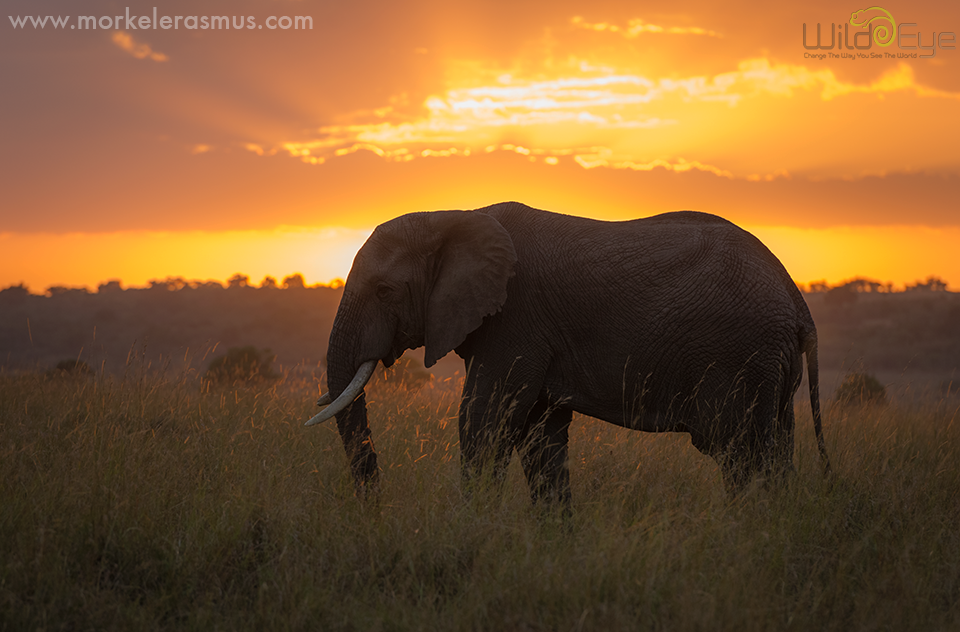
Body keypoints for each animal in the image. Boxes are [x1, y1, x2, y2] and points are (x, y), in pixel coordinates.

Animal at [306, 202, 830, 504]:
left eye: (385, 290)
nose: (375, 507)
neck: (451, 216)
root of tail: (796, 298)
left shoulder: (516, 320)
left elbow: (484, 422)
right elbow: (542, 438)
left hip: (742, 357)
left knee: (742, 455)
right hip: (769, 365)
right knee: (775, 450)